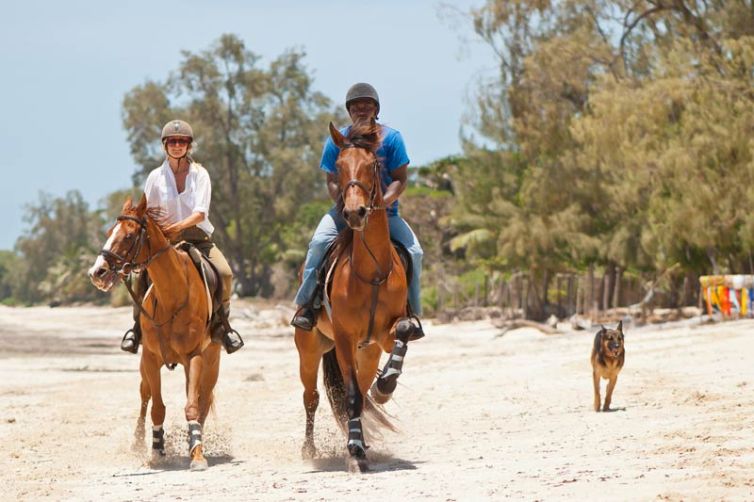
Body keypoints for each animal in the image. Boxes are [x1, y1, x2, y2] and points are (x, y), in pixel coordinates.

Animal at [88, 195, 220, 471]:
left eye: (129, 235)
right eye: (109, 232)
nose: (97, 273)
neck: (172, 297)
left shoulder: (195, 357)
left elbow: (193, 407)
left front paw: (197, 454)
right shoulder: (150, 358)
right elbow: (156, 408)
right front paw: (157, 451)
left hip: (211, 363)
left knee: (202, 401)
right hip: (144, 366)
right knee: (144, 396)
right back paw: (137, 443)